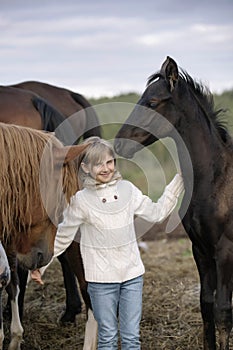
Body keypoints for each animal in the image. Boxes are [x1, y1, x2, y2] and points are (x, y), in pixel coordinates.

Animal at [114, 56, 233, 348]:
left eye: (152, 102)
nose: (119, 144)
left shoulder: (225, 250)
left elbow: (223, 310)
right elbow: (206, 305)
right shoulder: (200, 250)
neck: (215, 179)